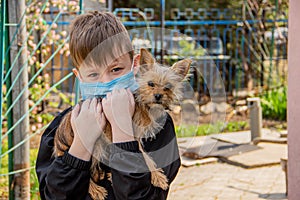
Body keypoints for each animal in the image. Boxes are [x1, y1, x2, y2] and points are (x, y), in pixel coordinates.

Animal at [53, 48, 190, 200]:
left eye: (168, 87)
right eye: (151, 84)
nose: (158, 96)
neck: (145, 105)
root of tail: (59, 135)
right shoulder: (132, 136)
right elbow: (146, 158)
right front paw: (157, 177)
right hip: (94, 146)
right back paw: (96, 190)